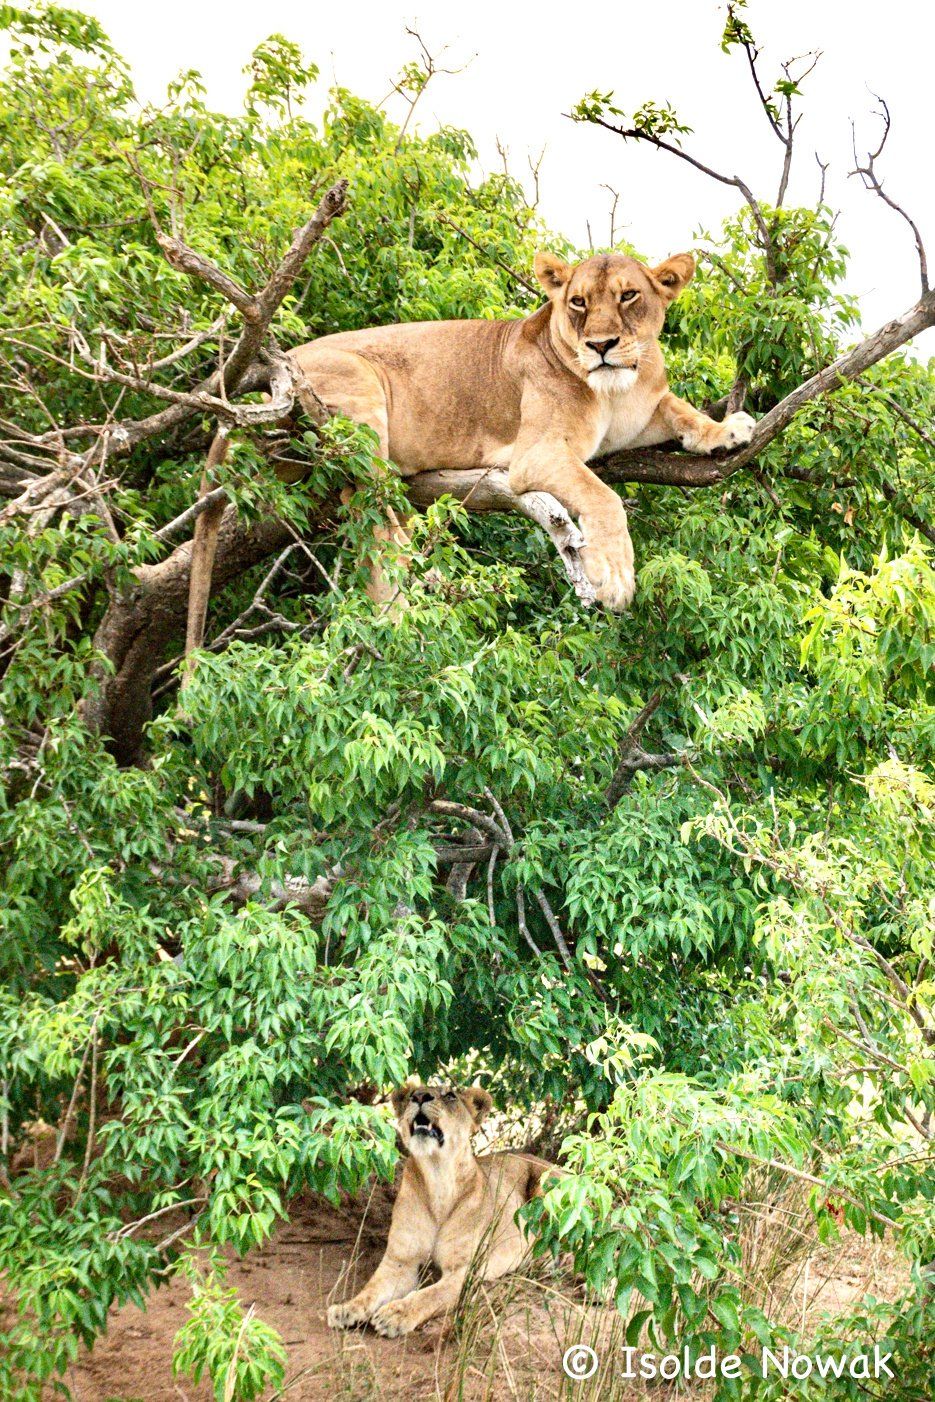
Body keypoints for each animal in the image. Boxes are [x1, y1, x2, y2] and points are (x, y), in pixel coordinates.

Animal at [290, 250, 754, 610]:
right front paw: (614, 575)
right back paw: (402, 597)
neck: (613, 392)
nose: (600, 346)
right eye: (579, 302)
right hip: (357, 387)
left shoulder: (639, 414)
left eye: (629, 295)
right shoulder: (536, 453)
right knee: (369, 507)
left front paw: (726, 430)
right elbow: (602, 496)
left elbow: (680, 409)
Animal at [326, 1082, 558, 1337]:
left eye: (449, 1096)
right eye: (411, 1094)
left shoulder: (465, 1272)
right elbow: (371, 1289)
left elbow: (429, 1295)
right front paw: (346, 1308)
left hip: (546, 1187)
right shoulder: (399, 1262)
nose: (419, 1096)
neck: (437, 1178)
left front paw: (395, 1314)